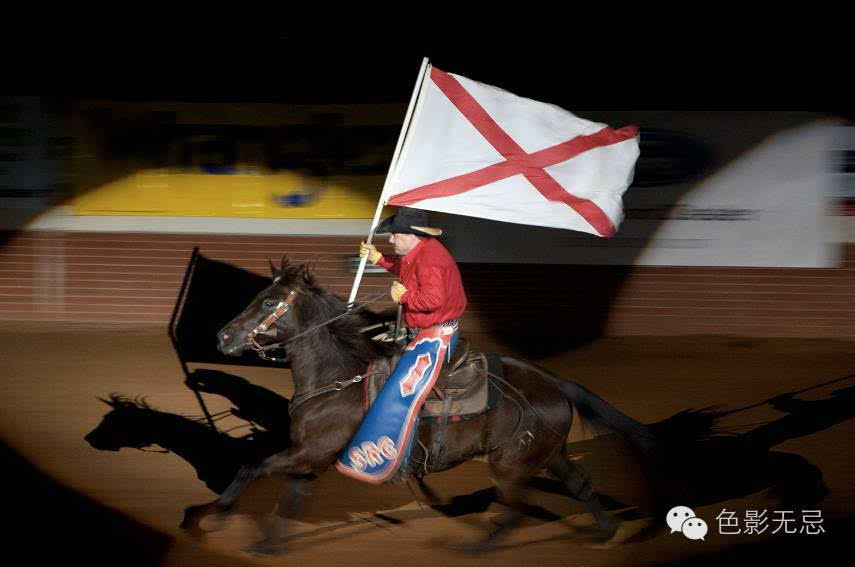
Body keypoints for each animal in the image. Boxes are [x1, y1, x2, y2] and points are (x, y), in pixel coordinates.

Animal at [177, 262, 700, 556]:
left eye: (269, 302)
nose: (223, 336)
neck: (336, 379)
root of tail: (556, 381)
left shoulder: (309, 452)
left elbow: (252, 467)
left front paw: (211, 517)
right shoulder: (311, 458)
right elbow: (289, 498)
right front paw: (266, 543)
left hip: (511, 465)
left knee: (515, 509)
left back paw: (472, 547)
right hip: (548, 454)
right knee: (580, 486)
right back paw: (606, 532)